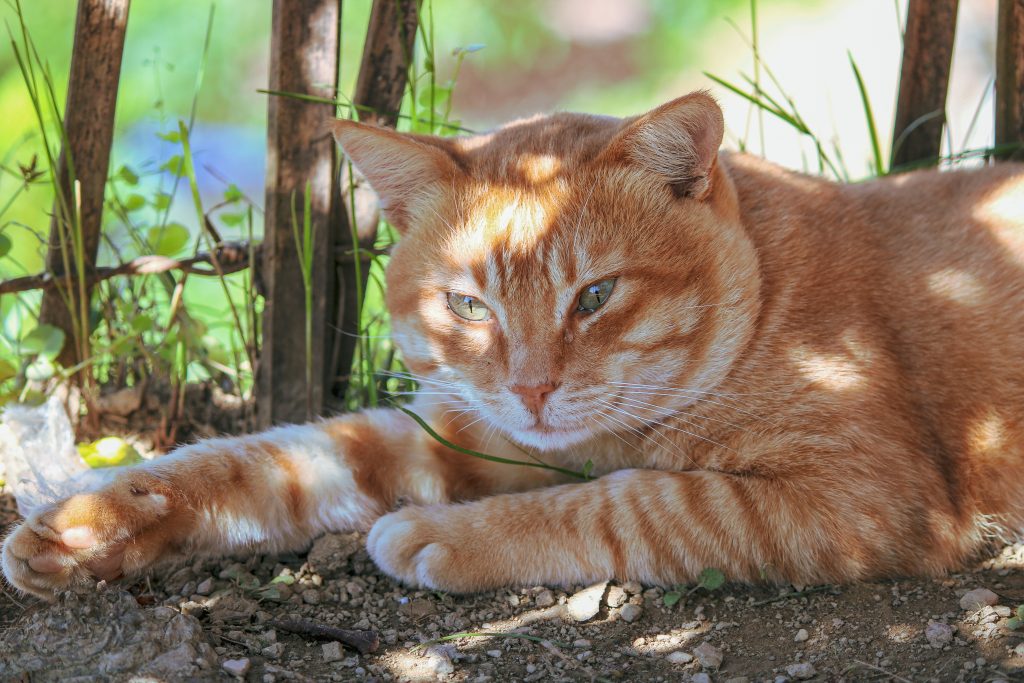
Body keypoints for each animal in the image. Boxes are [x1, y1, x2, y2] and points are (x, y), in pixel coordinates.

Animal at [6, 93, 1024, 602]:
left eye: (596, 296)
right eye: (468, 304)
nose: (533, 390)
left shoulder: (865, 494)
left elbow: (638, 502)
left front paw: (447, 535)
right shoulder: (452, 428)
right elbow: (269, 458)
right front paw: (92, 520)